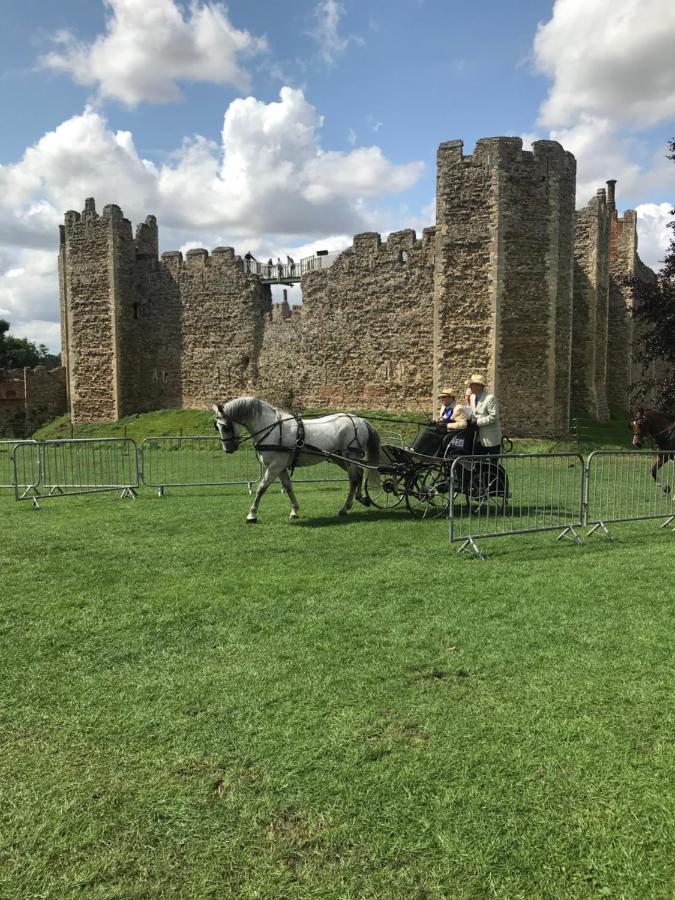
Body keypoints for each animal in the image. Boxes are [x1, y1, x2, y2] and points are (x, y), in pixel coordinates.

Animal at [213, 400, 380, 524]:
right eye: (217, 427)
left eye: (225, 427)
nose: (228, 449)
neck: (271, 429)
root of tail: (360, 420)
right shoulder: (280, 467)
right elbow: (288, 487)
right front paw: (294, 510)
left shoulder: (274, 467)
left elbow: (261, 488)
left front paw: (252, 515)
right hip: (340, 458)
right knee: (359, 473)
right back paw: (361, 498)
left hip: (350, 457)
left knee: (353, 479)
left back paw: (345, 508)